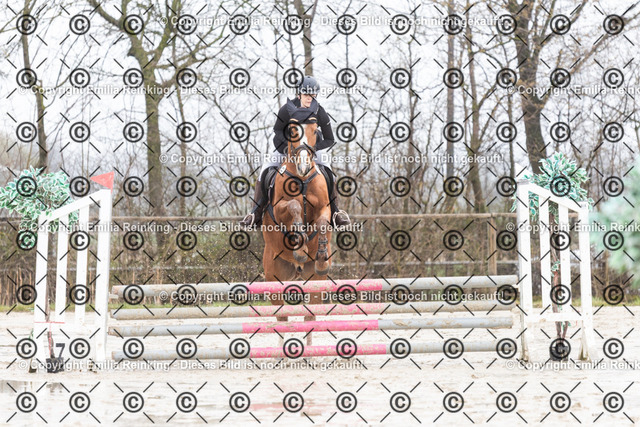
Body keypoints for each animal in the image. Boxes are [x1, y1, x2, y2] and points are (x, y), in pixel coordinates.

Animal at [262, 117, 332, 346]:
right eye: (292, 131)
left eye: (315, 131)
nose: (303, 166)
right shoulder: (278, 208)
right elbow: (294, 206)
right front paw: (300, 248)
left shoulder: (325, 207)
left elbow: (322, 222)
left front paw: (321, 256)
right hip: (274, 277)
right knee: (281, 316)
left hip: (315, 281)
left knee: (310, 313)